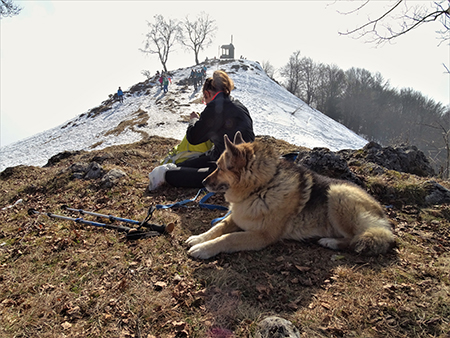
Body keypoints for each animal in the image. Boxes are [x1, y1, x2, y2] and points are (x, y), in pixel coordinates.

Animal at [185, 132, 394, 258]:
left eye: (220, 168)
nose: (203, 183)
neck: (262, 187)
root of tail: (381, 214)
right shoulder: (236, 218)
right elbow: (218, 227)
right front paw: (200, 238)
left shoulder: (262, 236)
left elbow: (229, 238)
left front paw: (204, 249)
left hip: (338, 193)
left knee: (354, 239)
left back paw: (330, 242)